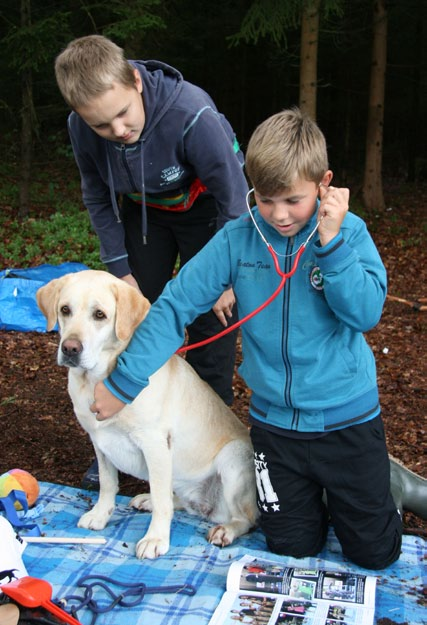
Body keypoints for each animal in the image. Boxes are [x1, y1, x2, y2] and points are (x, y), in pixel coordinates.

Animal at [36, 268, 258, 556]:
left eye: (100, 315)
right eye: (65, 309)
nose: (70, 349)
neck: (97, 381)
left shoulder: (155, 444)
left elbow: (162, 501)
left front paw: (155, 539)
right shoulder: (99, 441)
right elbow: (108, 484)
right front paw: (100, 515)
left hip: (233, 459)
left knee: (246, 518)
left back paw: (226, 530)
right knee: (184, 502)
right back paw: (147, 501)